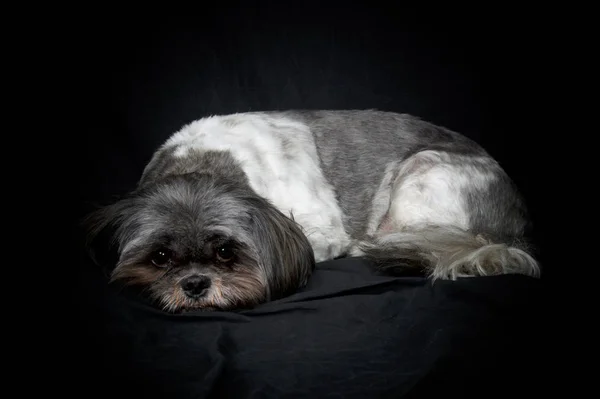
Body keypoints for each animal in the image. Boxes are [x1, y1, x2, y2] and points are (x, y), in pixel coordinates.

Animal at [85, 108, 544, 312]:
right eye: (160, 256)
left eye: (226, 252)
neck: (205, 160)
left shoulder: (321, 230)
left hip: (422, 173)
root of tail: (516, 223)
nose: (195, 284)